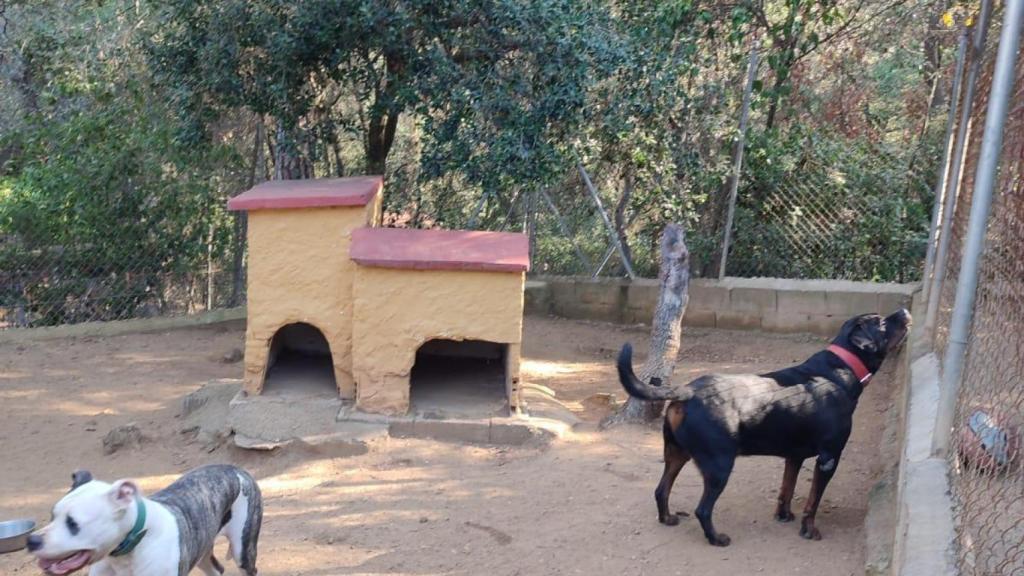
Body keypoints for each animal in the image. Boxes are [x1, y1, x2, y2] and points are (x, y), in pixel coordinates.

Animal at [28, 463, 262, 573]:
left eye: (73, 523)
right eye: (52, 515)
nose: (31, 540)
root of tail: (237, 469)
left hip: (243, 550)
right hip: (202, 549)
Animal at [614, 309, 913, 541]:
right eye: (881, 322)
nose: (904, 310)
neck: (840, 369)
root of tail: (686, 390)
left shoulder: (794, 456)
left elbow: (787, 489)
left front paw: (784, 515)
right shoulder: (829, 458)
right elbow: (813, 501)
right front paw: (809, 530)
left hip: (676, 453)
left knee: (661, 489)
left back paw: (668, 519)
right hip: (719, 464)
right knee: (703, 509)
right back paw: (717, 539)